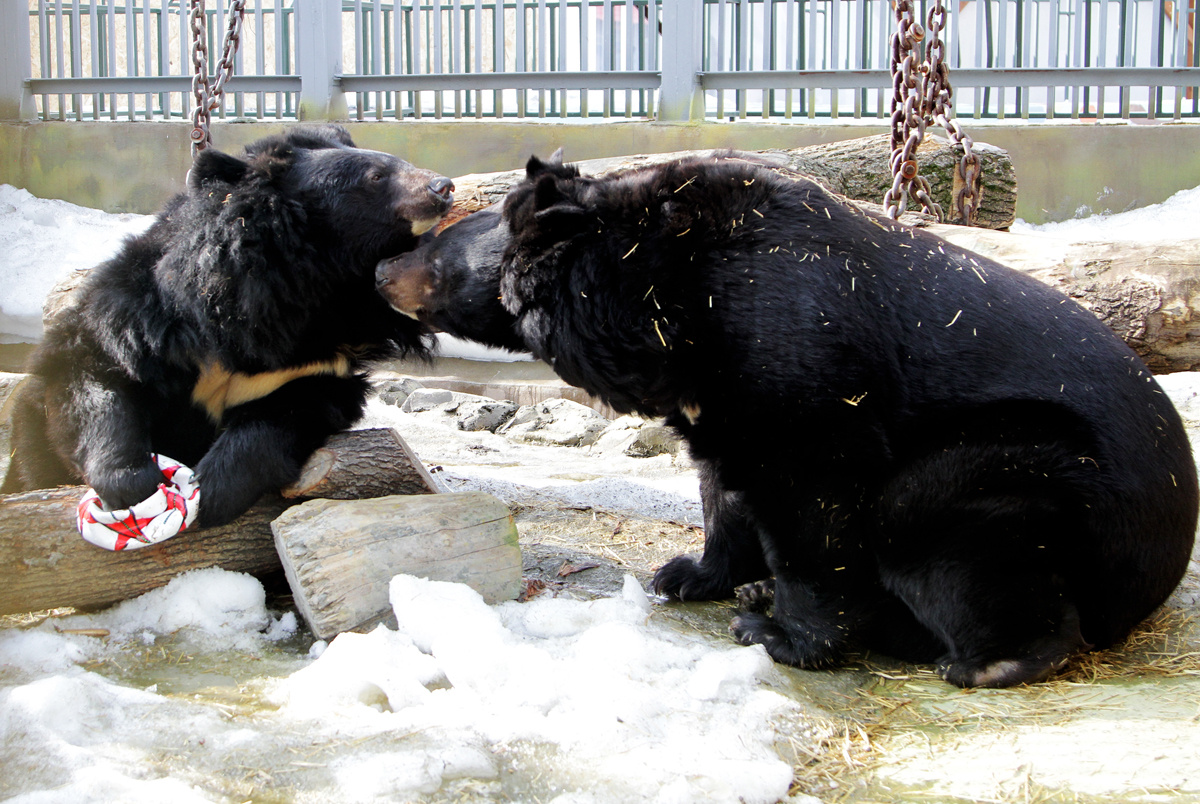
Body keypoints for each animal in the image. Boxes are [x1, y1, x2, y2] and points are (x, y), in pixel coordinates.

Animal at [3, 126, 453, 528]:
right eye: (376, 176)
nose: (443, 186)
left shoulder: (318, 358)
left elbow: (289, 411)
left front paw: (214, 490)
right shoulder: (145, 316)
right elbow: (95, 371)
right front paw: (131, 484)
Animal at [376, 154, 1200, 691]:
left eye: (437, 245)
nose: (382, 273)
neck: (658, 307)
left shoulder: (793, 357)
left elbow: (810, 500)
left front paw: (783, 634)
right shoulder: (712, 394)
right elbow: (724, 487)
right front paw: (689, 575)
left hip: (1036, 468)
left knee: (937, 522)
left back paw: (984, 658)